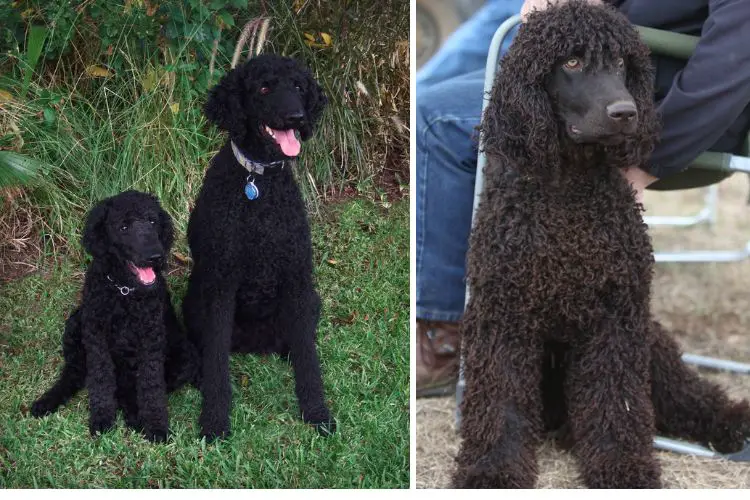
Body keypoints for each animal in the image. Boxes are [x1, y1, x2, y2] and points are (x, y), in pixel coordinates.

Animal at [31, 190, 198, 442]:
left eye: (152, 222)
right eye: (123, 227)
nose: (155, 257)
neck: (123, 291)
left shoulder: (151, 339)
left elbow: (150, 384)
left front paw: (156, 426)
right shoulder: (96, 336)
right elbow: (101, 378)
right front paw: (102, 420)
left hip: (184, 358)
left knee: (128, 386)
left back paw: (134, 415)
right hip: (76, 324)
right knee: (75, 374)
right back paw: (47, 401)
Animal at [184, 53, 334, 442]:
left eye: (298, 86)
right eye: (264, 88)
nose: (297, 117)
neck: (259, 183)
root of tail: (255, 343)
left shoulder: (297, 279)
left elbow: (309, 361)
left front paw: (317, 413)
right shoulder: (221, 287)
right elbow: (217, 365)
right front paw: (215, 422)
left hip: (310, 301)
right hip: (196, 304)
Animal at [456, 0, 750, 488]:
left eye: (620, 64)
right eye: (571, 63)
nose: (625, 112)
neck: (567, 194)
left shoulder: (615, 318)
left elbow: (616, 403)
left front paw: (621, 468)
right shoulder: (502, 318)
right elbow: (503, 403)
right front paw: (494, 470)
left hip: (651, 344)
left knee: (690, 397)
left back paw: (733, 422)